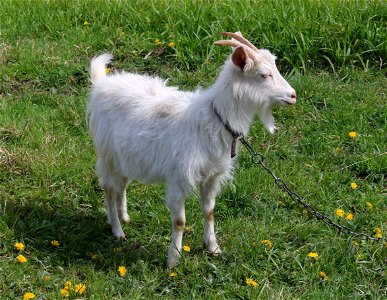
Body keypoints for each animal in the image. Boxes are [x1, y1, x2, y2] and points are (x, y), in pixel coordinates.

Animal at [85, 31, 298, 268]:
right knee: (109, 189)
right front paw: (173, 259)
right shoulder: (179, 176)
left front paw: (213, 247)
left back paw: (124, 217)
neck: (215, 118)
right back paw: (117, 230)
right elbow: (179, 221)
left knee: (121, 185)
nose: (293, 95)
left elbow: (210, 211)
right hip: (107, 155)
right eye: (264, 75)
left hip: (126, 157)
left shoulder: (212, 175)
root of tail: (101, 85)